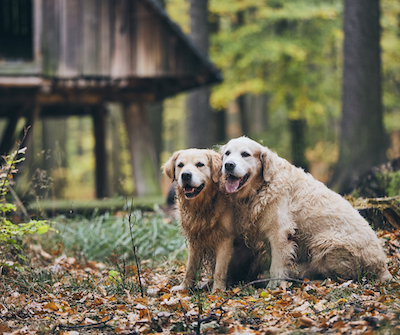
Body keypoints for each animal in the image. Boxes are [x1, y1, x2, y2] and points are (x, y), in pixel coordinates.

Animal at [219, 136, 390, 288]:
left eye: (245, 154)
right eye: (227, 153)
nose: (228, 165)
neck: (260, 188)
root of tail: (383, 266)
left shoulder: (279, 232)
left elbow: (277, 265)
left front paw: (274, 286)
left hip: (323, 242)